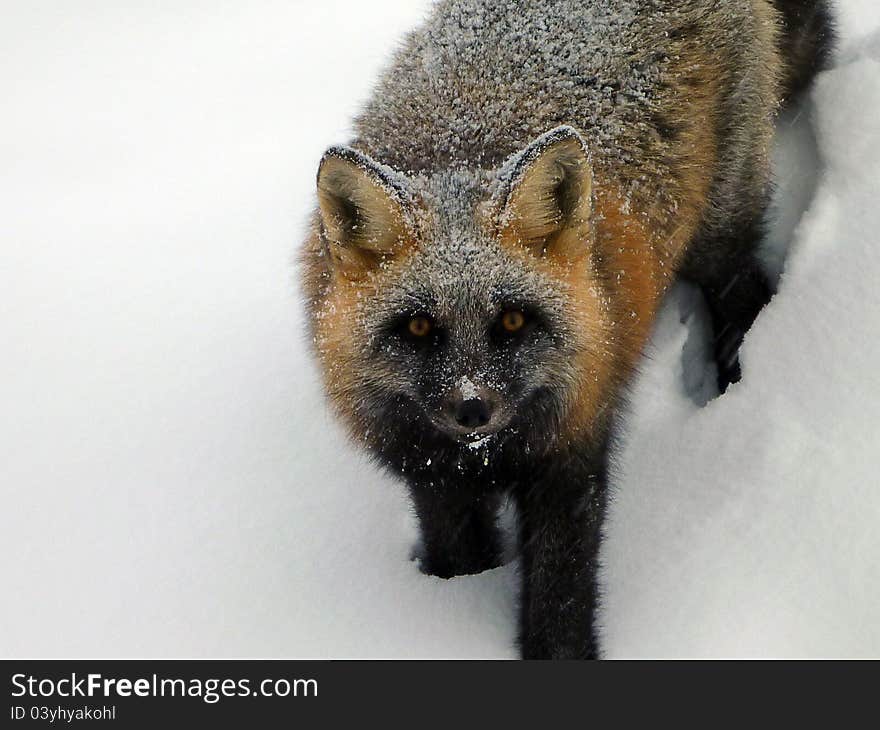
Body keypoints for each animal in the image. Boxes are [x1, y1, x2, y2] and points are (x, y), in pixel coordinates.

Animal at [300, 0, 836, 656]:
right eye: (420, 327)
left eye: (512, 320)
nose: (472, 408)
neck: (487, 457)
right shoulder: (430, 472)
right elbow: (458, 557)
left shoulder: (574, 450)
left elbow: (562, 591)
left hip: (718, 232)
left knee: (745, 286)